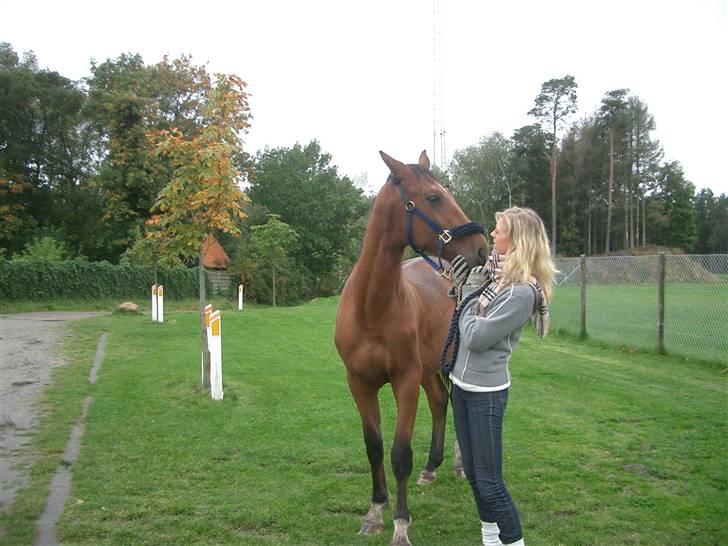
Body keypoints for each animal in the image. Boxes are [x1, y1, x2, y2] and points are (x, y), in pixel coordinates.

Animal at [336, 150, 490, 544]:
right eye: (433, 197)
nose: (481, 248)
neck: (372, 308)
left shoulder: (404, 380)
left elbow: (400, 454)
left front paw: (400, 525)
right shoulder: (359, 383)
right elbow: (374, 447)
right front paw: (375, 513)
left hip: (446, 362)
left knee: (454, 401)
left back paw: (458, 464)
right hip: (429, 368)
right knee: (439, 400)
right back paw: (432, 467)